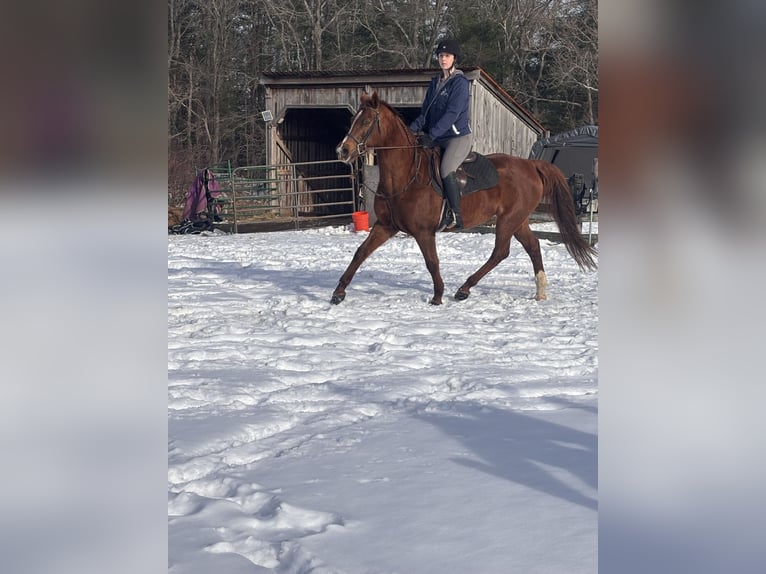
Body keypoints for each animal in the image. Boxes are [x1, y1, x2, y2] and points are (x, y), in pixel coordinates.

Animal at [330, 91, 592, 306]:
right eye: (353, 120)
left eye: (366, 121)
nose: (342, 151)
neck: (406, 176)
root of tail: (531, 165)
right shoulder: (386, 226)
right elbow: (361, 252)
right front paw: (338, 293)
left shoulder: (423, 232)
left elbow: (432, 262)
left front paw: (437, 296)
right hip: (518, 220)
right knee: (533, 246)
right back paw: (539, 292)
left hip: (508, 220)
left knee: (500, 252)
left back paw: (464, 289)